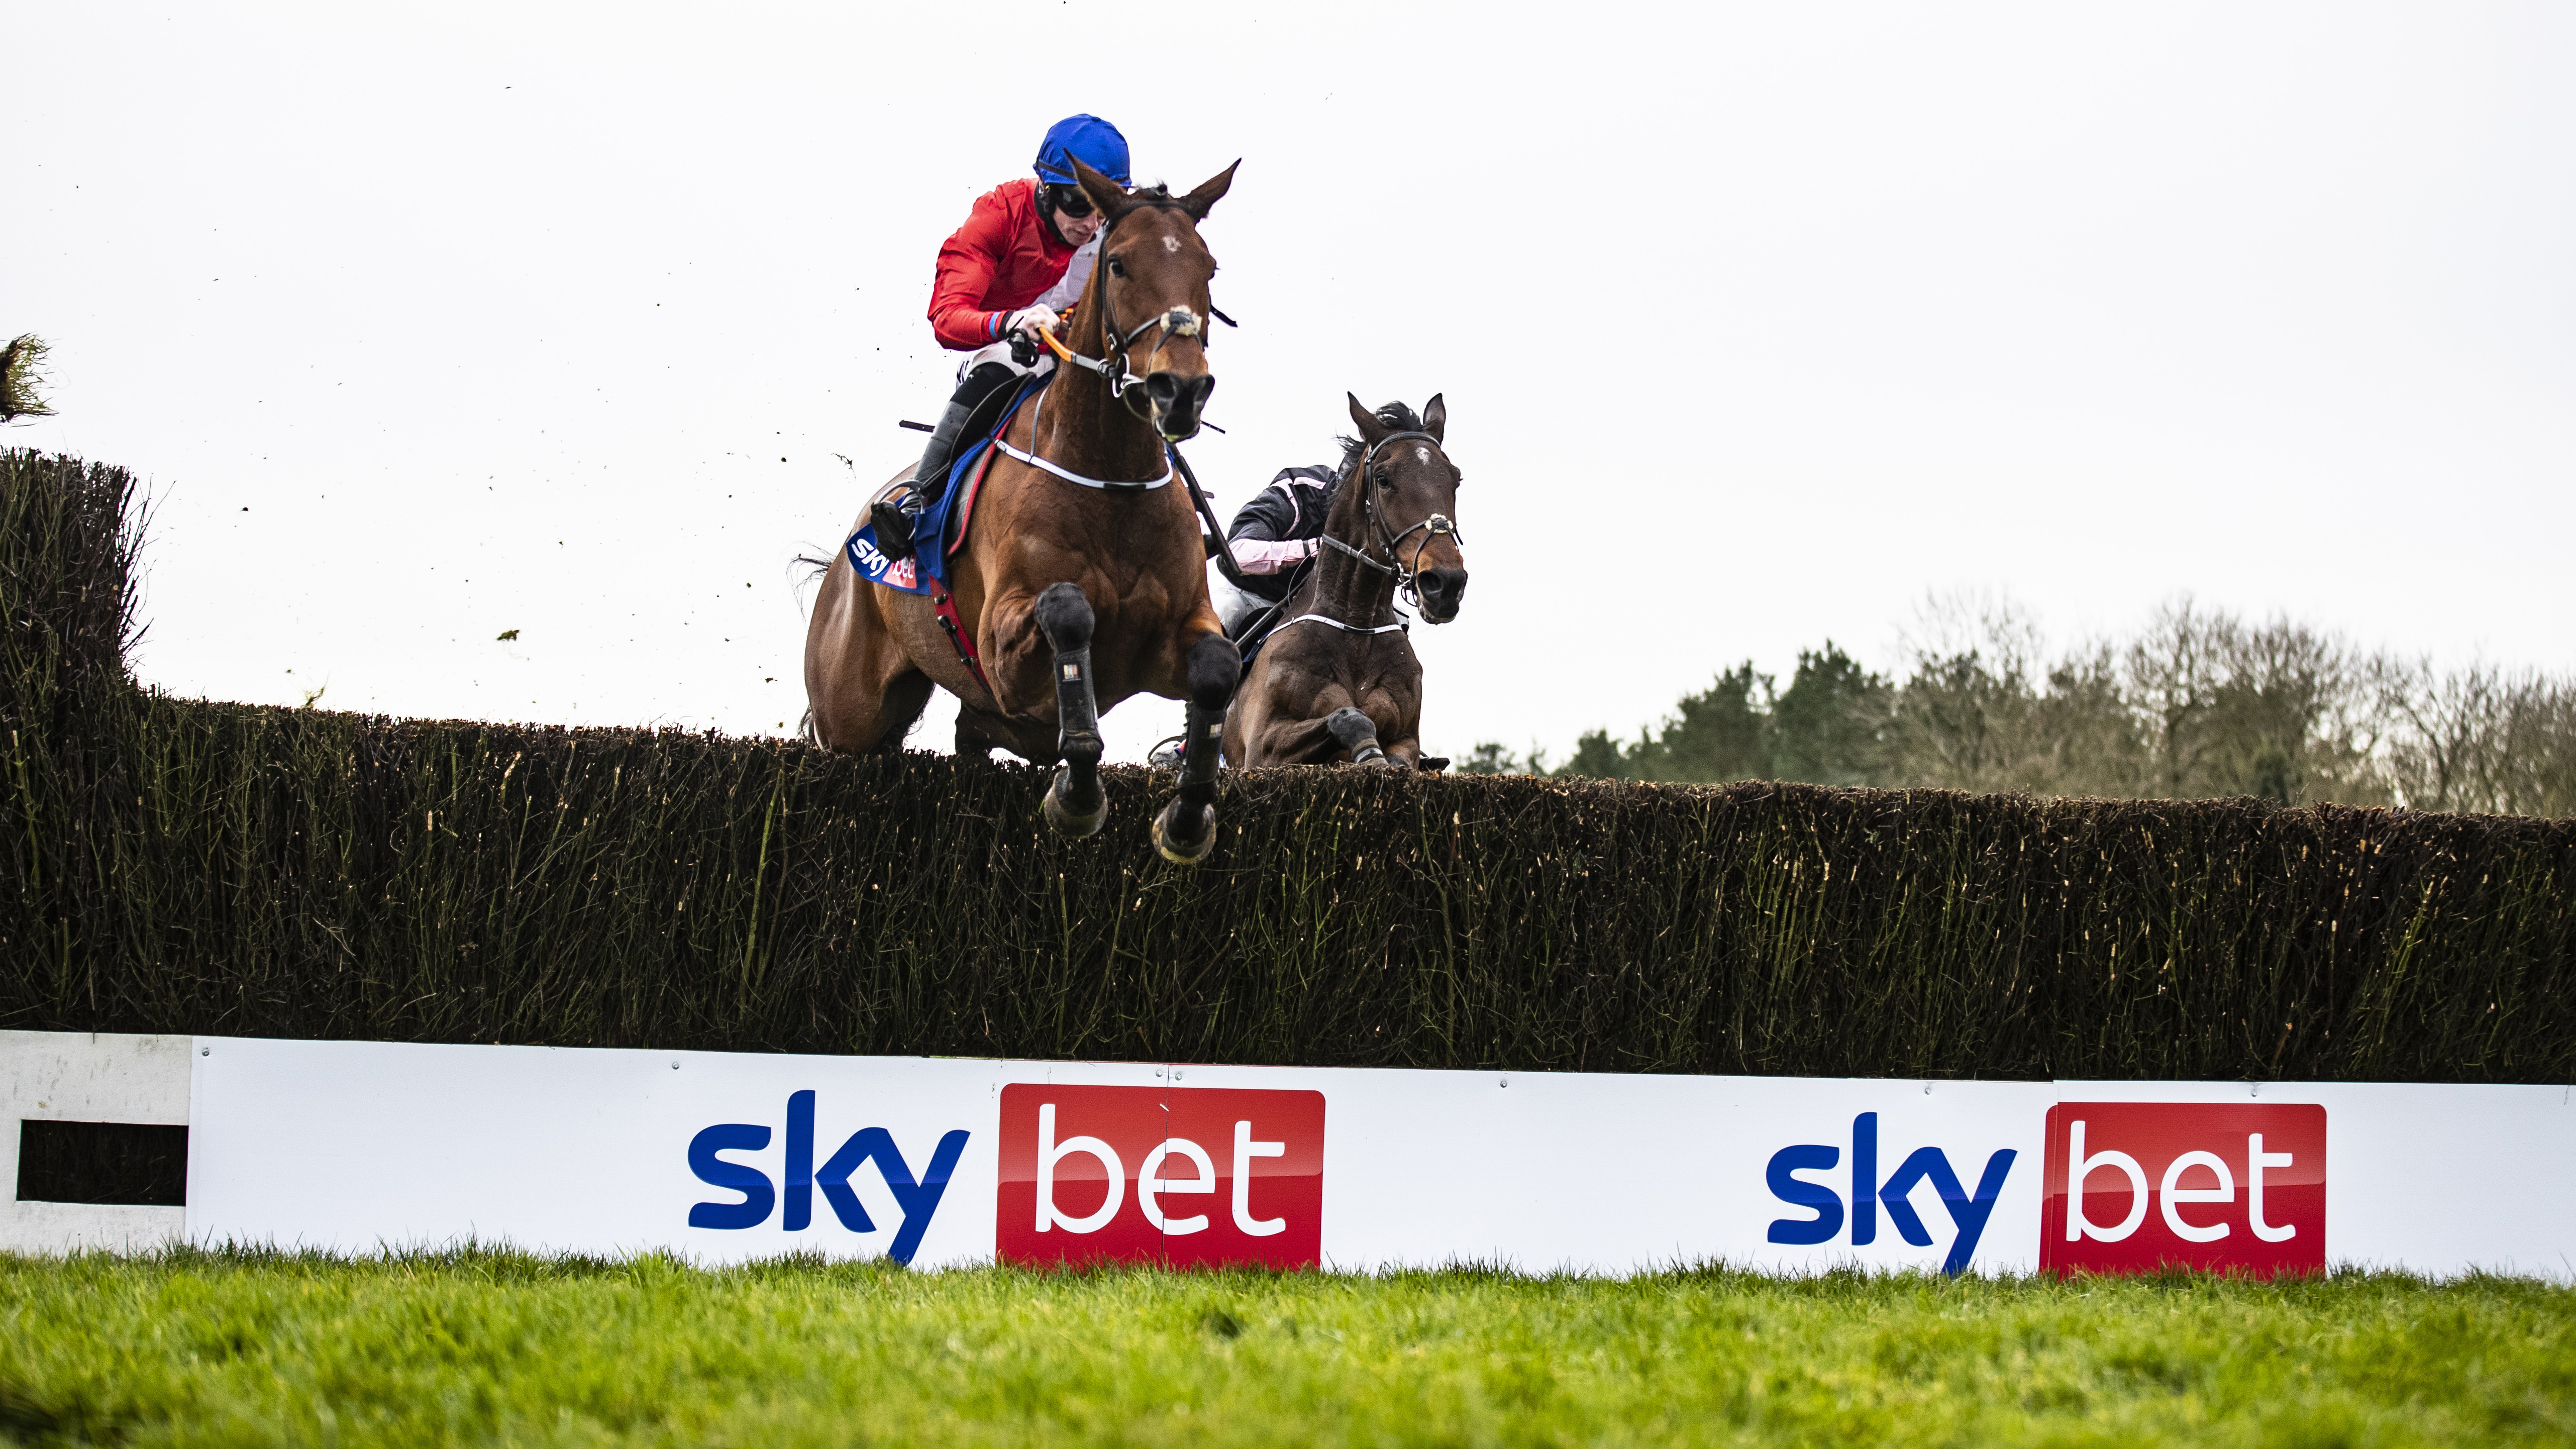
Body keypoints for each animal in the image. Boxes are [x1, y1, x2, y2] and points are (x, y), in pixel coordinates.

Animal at [803, 159, 1247, 859]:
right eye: (1119, 263)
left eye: (1208, 266)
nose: (1181, 389)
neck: (1109, 480)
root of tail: (844, 563)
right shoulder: (1003, 650)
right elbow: (1068, 611)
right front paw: (1078, 797)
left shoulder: (1173, 635)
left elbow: (1220, 667)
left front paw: (1186, 817)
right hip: (848, 713)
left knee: (971, 736)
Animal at [1215, 386, 1463, 772]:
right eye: (1383, 480)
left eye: (1455, 478)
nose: (1446, 582)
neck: (1355, 621)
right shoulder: (1262, 749)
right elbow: (1349, 716)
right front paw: (1369, 754)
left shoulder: (1407, 738)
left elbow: (1400, 758)